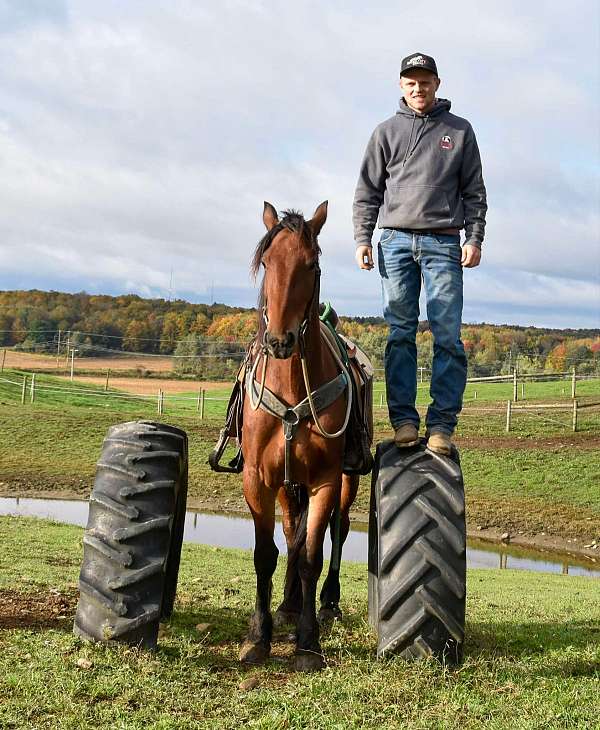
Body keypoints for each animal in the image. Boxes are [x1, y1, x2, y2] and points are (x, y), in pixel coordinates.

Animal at [240, 200, 360, 672]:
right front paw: (260, 636)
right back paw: (289, 605)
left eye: (311, 264)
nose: (280, 340)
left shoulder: (326, 479)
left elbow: (311, 555)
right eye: (267, 262)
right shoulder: (259, 479)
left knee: (337, 532)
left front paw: (308, 643)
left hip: (345, 482)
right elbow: (267, 554)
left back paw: (326, 603)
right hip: (288, 486)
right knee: (293, 533)